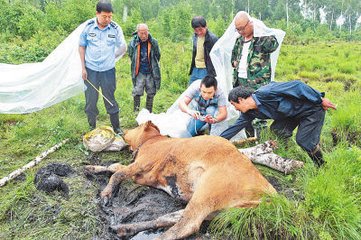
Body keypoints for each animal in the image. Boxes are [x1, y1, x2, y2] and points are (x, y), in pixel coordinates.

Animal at [85, 121, 276, 239]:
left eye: (138, 126)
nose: (122, 130)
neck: (153, 141)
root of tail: (270, 191)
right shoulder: (142, 174)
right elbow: (115, 166)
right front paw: (91, 168)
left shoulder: (143, 162)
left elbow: (117, 173)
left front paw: (106, 195)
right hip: (217, 210)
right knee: (168, 218)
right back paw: (124, 228)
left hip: (208, 191)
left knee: (186, 225)